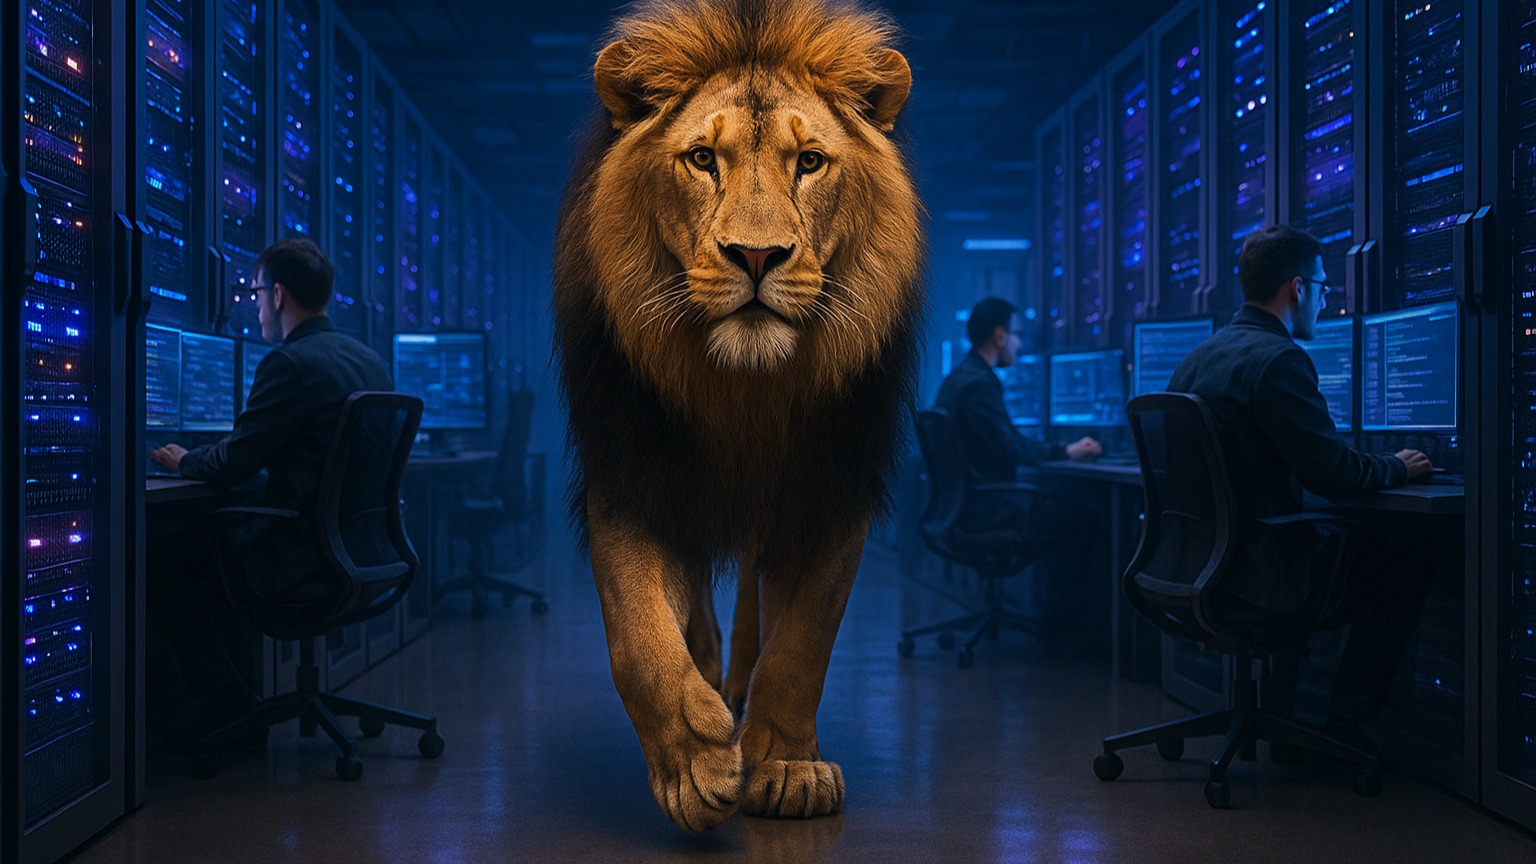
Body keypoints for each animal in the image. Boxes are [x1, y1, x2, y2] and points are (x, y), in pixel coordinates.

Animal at [552, 0, 923, 832]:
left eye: (810, 162)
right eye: (701, 160)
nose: (757, 257)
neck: (744, 392)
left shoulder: (832, 483)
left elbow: (803, 643)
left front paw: (785, 765)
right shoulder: (628, 472)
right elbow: (640, 634)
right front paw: (695, 764)